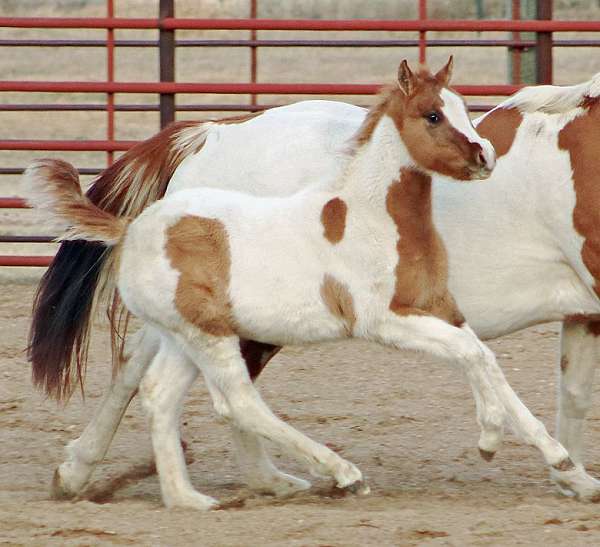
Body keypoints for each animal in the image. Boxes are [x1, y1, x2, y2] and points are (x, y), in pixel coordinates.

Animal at [24, 58, 596, 510]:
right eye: (433, 114)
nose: (485, 157)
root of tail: (211, 135)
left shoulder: (491, 311)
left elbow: (554, 388)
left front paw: (569, 472)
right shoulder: (387, 318)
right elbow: (482, 360)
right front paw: (506, 443)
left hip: (210, 328)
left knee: (160, 381)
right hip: (225, 327)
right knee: (223, 393)